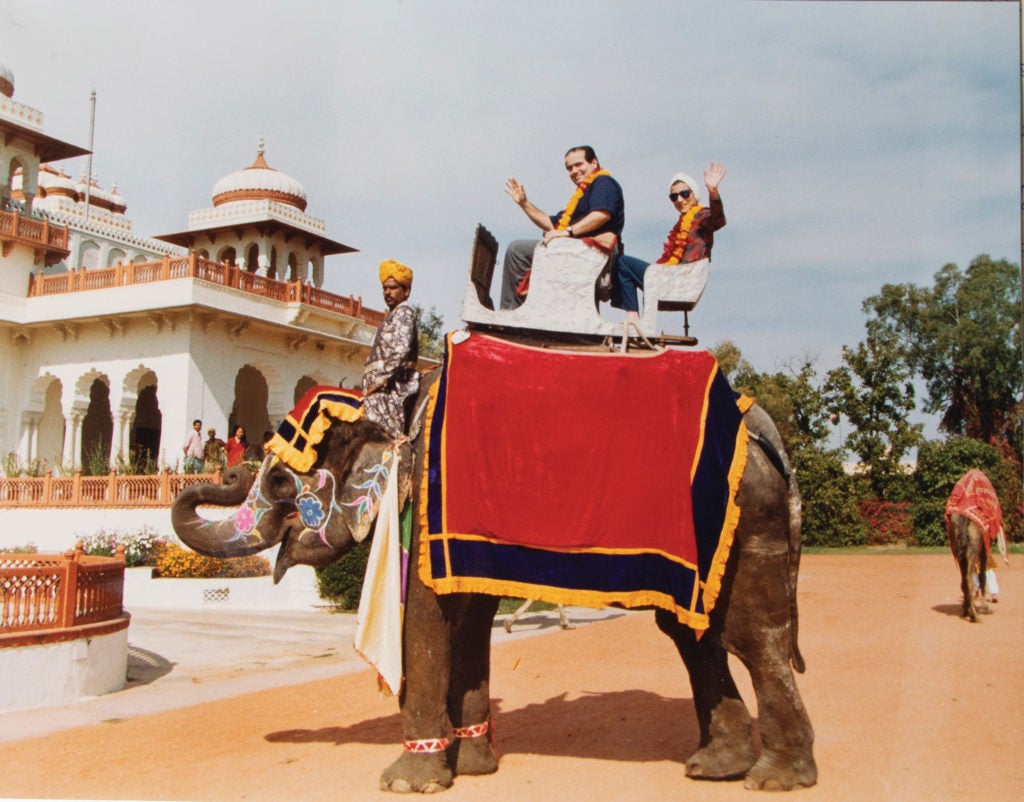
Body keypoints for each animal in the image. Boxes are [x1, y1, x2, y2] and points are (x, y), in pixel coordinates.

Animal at [171, 371, 817, 793]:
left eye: (281, 483)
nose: (226, 467)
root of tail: (766, 432)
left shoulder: (424, 509)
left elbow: (423, 625)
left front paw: (406, 784)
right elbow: (467, 624)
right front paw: (473, 766)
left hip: (745, 522)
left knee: (751, 637)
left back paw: (775, 779)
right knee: (694, 635)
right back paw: (715, 768)